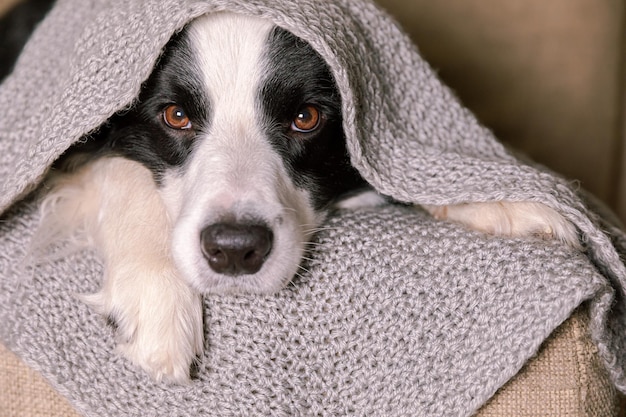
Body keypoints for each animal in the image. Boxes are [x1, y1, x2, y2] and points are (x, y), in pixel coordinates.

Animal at [26, 11, 576, 382]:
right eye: (176, 116)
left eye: (305, 118)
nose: (234, 249)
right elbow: (123, 169)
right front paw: (156, 298)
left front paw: (500, 198)